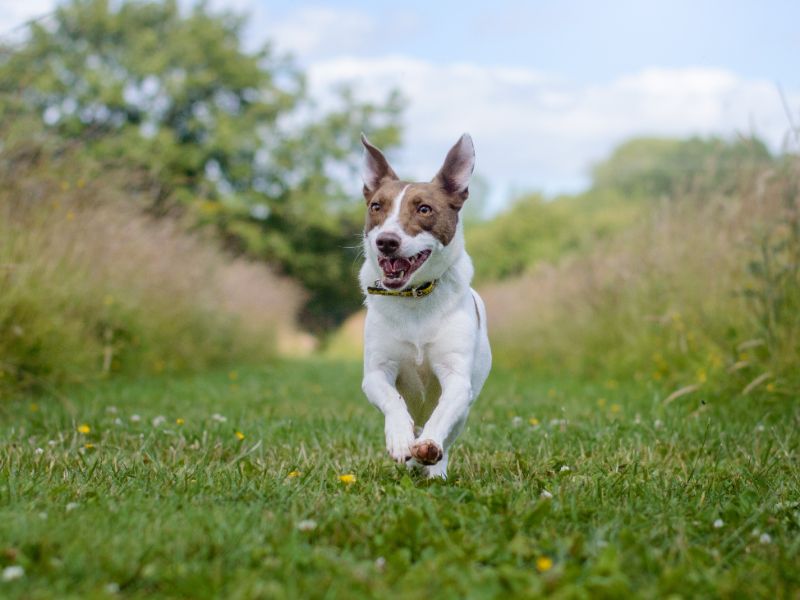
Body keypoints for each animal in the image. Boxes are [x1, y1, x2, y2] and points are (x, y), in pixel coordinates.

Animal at [358, 132, 494, 478]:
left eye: (424, 209)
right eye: (376, 206)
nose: (387, 241)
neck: (415, 297)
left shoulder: (457, 379)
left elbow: (442, 414)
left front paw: (429, 447)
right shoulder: (376, 372)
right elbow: (392, 398)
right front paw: (399, 438)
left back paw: (433, 467)